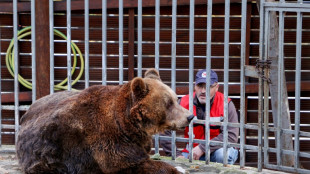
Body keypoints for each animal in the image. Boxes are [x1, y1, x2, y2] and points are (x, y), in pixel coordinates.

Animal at [15, 68, 194, 173]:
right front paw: (177, 168)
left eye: (175, 99)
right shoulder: (107, 140)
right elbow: (133, 162)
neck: (128, 124)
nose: (190, 116)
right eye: (168, 103)